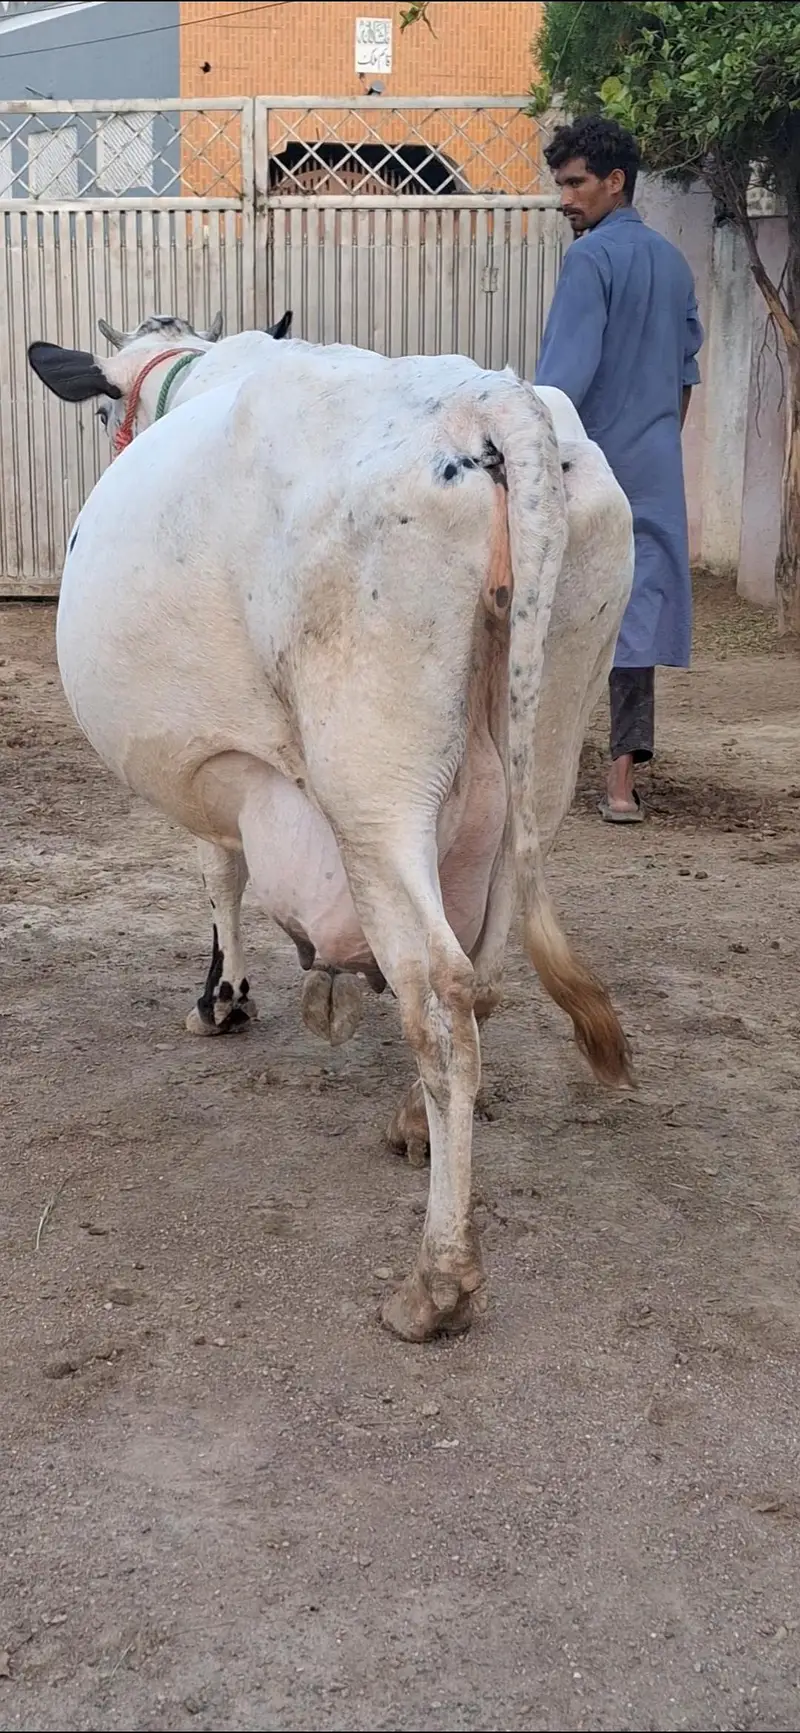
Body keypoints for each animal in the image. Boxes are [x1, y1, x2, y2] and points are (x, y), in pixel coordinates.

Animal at [27, 311, 635, 1342]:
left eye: (107, 410)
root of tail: (487, 398)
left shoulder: (212, 766)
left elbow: (220, 876)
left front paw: (221, 999)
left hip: (373, 785)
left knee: (441, 993)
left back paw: (438, 1278)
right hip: (544, 748)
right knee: (488, 967)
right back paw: (411, 1124)